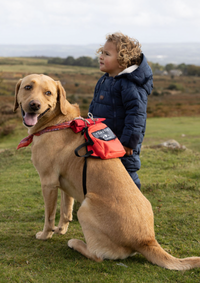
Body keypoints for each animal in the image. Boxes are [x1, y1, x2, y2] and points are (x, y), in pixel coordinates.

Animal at [14, 74, 200, 270]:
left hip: (86, 207)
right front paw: (61, 230)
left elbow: (48, 217)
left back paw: (76, 243)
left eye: (48, 93)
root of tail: (146, 240)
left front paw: (45, 235)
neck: (57, 121)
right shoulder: (65, 185)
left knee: (97, 256)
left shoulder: (48, 183)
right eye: (27, 87)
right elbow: (65, 211)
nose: (34, 105)